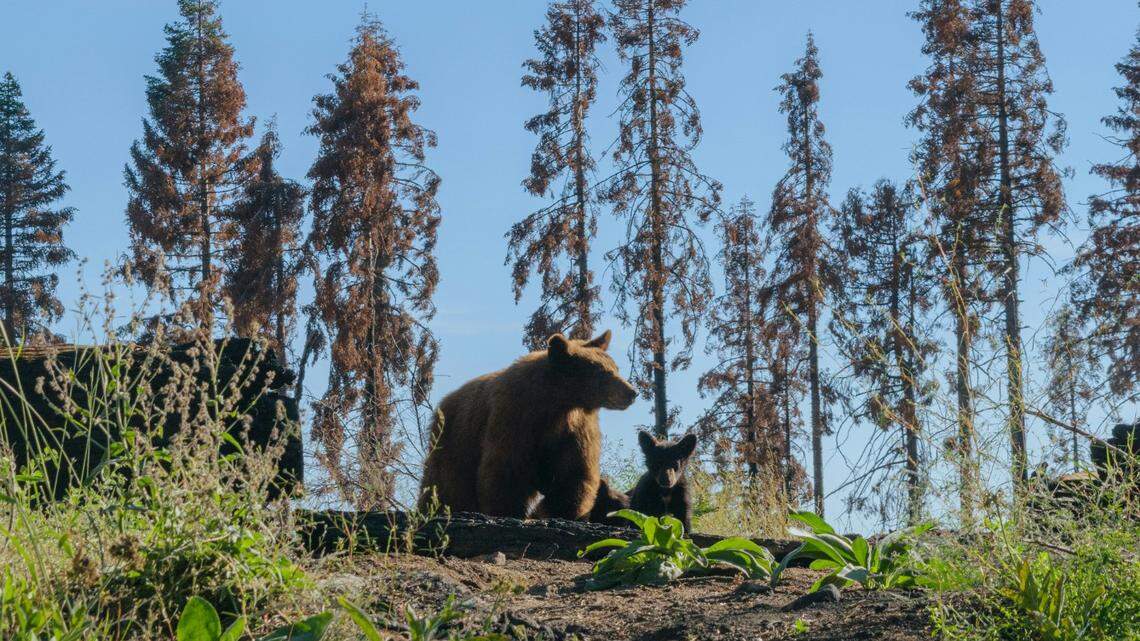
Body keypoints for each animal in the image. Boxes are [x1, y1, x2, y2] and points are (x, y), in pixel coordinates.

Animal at [418, 330, 637, 520]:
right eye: (603, 372)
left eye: (615, 368)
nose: (631, 392)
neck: (557, 405)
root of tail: (445, 401)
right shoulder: (515, 420)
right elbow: (506, 470)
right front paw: (508, 510)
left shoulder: (574, 430)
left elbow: (573, 473)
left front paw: (559, 510)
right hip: (455, 441)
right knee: (446, 484)